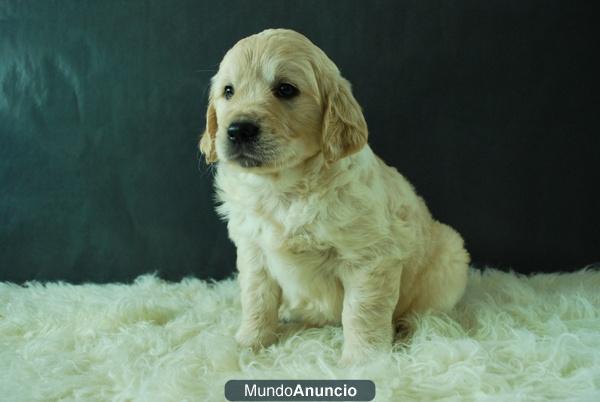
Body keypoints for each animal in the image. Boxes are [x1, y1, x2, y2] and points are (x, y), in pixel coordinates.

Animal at [199, 27, 472, 362]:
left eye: (285, 89)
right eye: (228, 91)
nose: (238, 130)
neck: (284, 189)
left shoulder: (369, 258)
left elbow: (361, 311)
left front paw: (365, 360)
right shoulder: (253, 250)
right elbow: (256, 299)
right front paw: (248, 343)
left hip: (450, 255)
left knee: (426, 311)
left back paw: (408, 328)